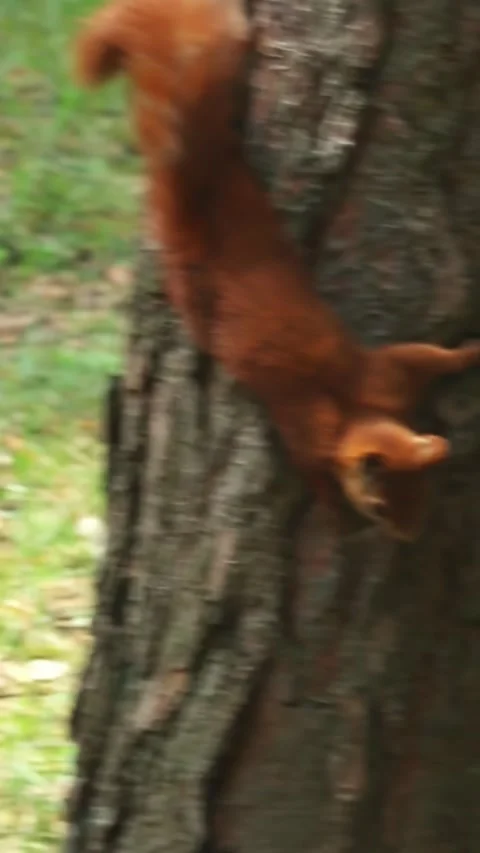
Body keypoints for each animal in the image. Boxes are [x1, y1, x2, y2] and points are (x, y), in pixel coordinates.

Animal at [75, 0, 480, 539]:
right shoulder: (314, 420)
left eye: (425, 492)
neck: (355, 405)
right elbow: (319, 462)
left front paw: (468, 354)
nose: (409, 535)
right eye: (379, 506)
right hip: (193, 288)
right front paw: (336, 514)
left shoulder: (385, 380)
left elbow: (426, 356)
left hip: (243, 212)